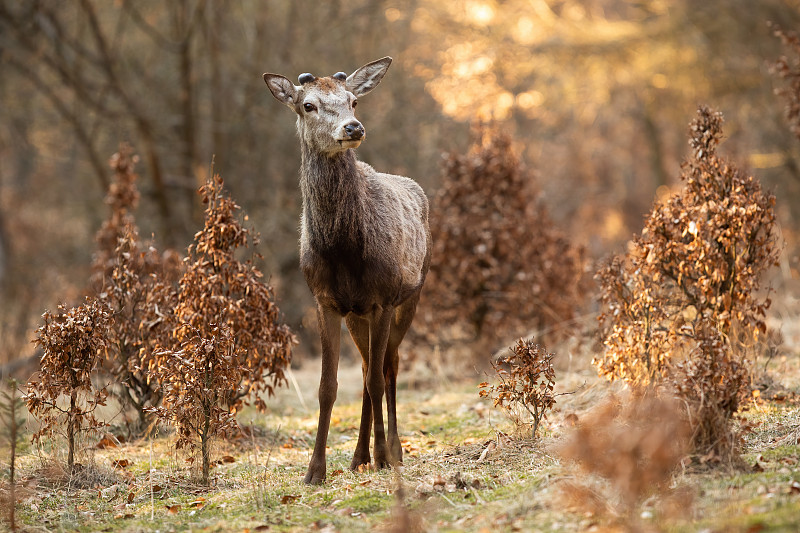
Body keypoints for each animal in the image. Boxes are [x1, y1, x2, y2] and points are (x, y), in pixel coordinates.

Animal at [264, 57, 432, 482]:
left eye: (353, 100)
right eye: (308, 105)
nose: (353, 127)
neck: (344, 252)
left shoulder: (384, 299)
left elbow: (375, 380)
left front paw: (385, 456)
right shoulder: (325, 301)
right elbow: (328, 386)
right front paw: (315, 470)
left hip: (411, 296)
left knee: (389, 367)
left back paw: (393, 451)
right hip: (357, 314)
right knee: (370, 366)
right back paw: (358, 456)